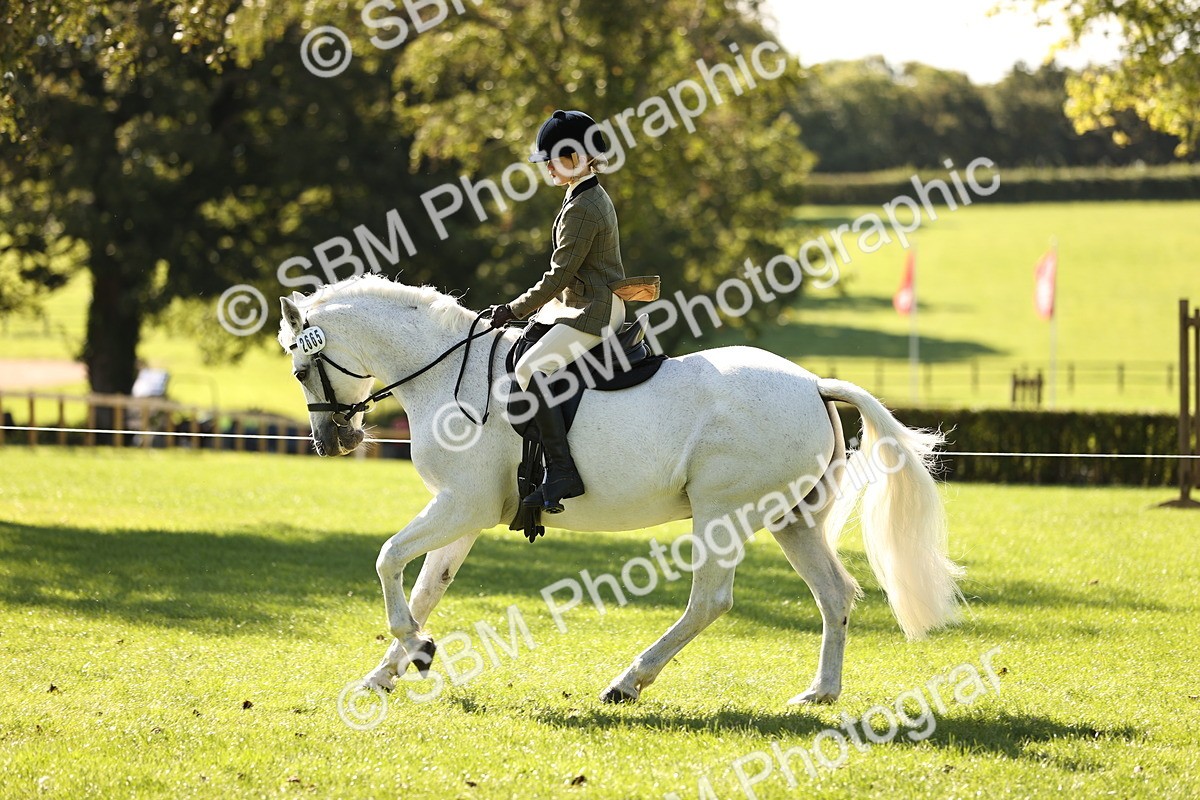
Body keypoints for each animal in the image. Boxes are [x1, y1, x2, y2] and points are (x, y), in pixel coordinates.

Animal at [277, 275, 963, 705]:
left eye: (302, 366)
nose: (331, 441)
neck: (447, 374)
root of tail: (814, 383)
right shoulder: (463, 513)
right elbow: (425, 588)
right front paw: (391, 671)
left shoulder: (462, 505)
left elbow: (388, 558)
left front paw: (414, 653)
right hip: (790, 518)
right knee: (834, 594)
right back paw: (820, 692)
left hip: (722, 513)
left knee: (710, 601)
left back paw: (627, 682)